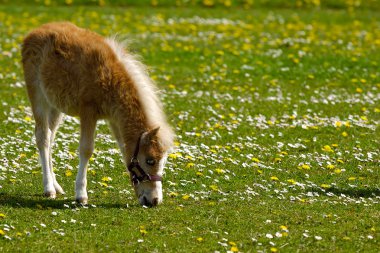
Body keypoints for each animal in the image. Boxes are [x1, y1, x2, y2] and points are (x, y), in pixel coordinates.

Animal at [21, 22, 174, 207]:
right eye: (150, 160)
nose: (154, 200)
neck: (112, 80)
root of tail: (33, 32)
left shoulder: (115, 119)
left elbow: (123, 148)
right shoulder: (88, 111)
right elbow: (86, 149)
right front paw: (81, 195)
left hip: (55, 105)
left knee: (50, 137)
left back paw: (56, 186)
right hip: (38, 96)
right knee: (42, 137)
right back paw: (49, 188)